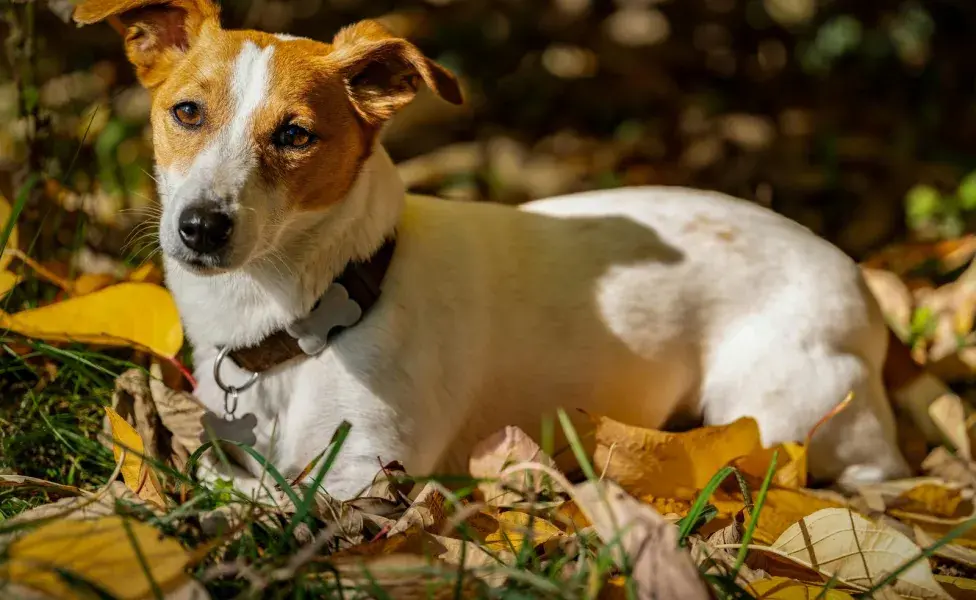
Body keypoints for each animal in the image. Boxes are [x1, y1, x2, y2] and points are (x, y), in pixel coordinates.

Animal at [76, 0, 916, 496]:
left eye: (295, 135)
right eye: (187, 112)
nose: (200, 227)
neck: (320, 306)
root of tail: (857, 280)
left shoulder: (364, 476)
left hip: (777, 407)